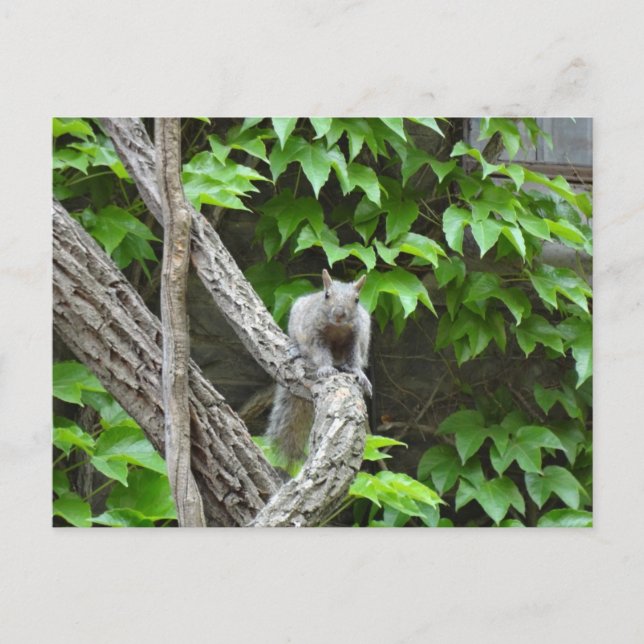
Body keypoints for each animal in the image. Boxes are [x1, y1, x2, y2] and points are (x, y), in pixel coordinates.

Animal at [265, 269, 372, 466]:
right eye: (326, 295)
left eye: (357, 299)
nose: (339, 313)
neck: (337, 328)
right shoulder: (315, 334)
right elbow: (321, 353)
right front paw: (325, 369)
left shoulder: (355, 337)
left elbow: (354, 358)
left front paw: (359, 374)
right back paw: (296, 350)